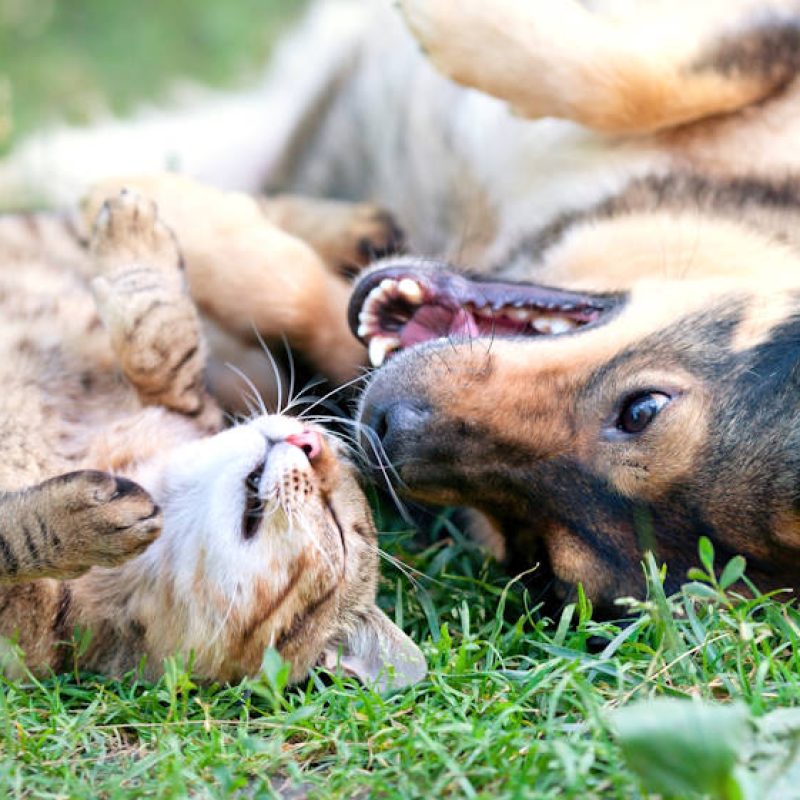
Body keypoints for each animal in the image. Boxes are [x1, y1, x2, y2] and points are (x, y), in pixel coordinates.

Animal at [4, 0, 800, 608]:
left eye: (535, 547)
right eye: (642, 409)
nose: (384, 427)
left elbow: (299, 299)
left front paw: (183, 219)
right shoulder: (750, 43)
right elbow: (658, 75)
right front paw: (452, 21)